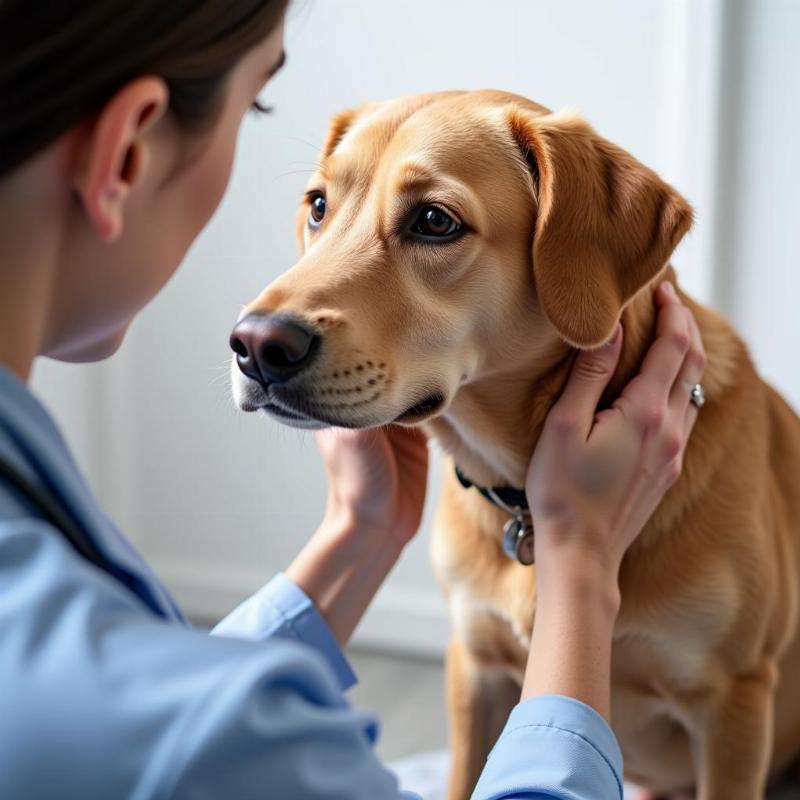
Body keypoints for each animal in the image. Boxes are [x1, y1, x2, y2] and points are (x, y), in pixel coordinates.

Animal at [227, 92, 800, 800]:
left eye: (435, 221)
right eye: (317, 206)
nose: (254, 344)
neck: (520, 495)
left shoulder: (734, 707)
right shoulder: (476, 667)